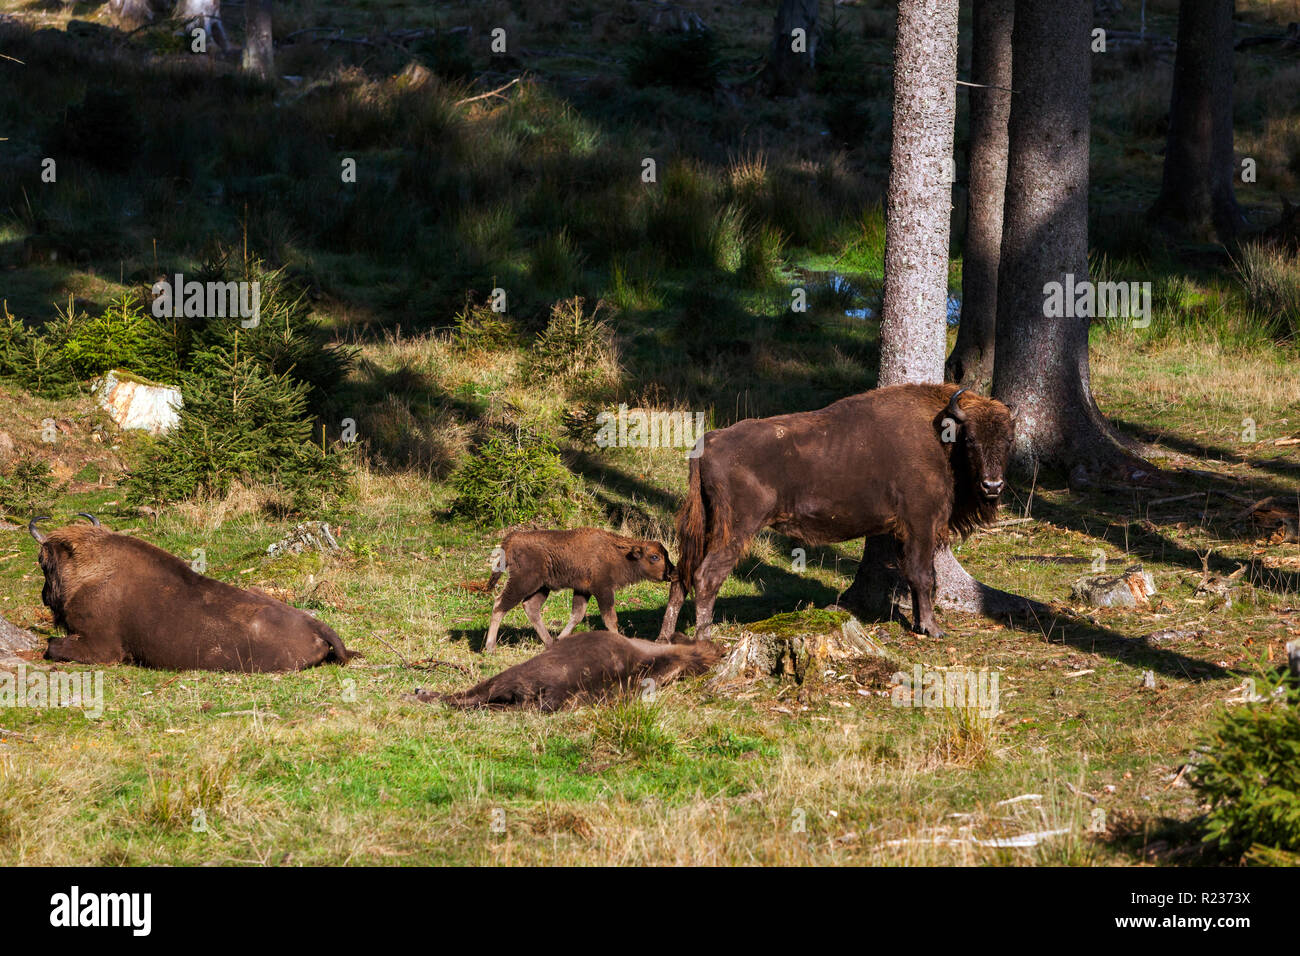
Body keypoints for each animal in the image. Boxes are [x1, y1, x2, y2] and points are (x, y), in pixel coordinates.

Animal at [30, 515, 356, 671]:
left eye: (43, 562)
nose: (44, 596)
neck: (91, 569)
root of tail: (314, 623)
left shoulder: (101, 648)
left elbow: (53, 645)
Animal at [483, 528, 676, 655]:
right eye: (654, 557)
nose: (672, 573)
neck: (618, 553)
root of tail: (512, 539)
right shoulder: (603, 590)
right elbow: (610, 619)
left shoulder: (583, 591)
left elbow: (577, 615)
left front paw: (561, 639)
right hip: (523, 583)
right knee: (500, 605)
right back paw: (490, 647)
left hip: (541, 588)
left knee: (530, 607)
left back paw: (550, 643)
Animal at [660, 382, 1013, 642]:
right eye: (970, 440)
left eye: (1009, 439)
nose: (993, 485)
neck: (941, 438)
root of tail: (708, 441)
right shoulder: (920, 524)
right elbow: (923, 575)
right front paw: (933, 629)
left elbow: (916, 577)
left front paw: (919, 623)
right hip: (736, 528)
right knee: (707, 576)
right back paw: (705, 639)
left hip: (705, 524)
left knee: (682, 575)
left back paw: (665, 638)